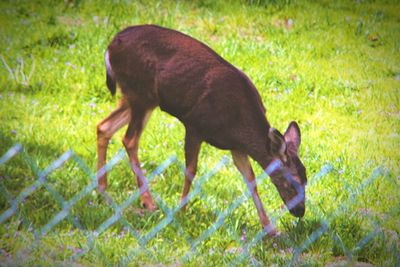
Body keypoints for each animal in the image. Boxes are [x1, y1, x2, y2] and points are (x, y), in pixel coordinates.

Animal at [96, 24, 306, 236]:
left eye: (306, 181)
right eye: (292, 182)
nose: (300, 211)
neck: (239, 123)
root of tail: (111, 45)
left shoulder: (236, 146)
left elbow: (251, 180)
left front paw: (270, 228)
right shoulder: (194, 125)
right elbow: (191, 170)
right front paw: (181, 212)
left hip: (138, 96)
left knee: (104, 126)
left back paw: (102, 190)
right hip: (141, 93)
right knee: (129, 139)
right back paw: (147, 201)